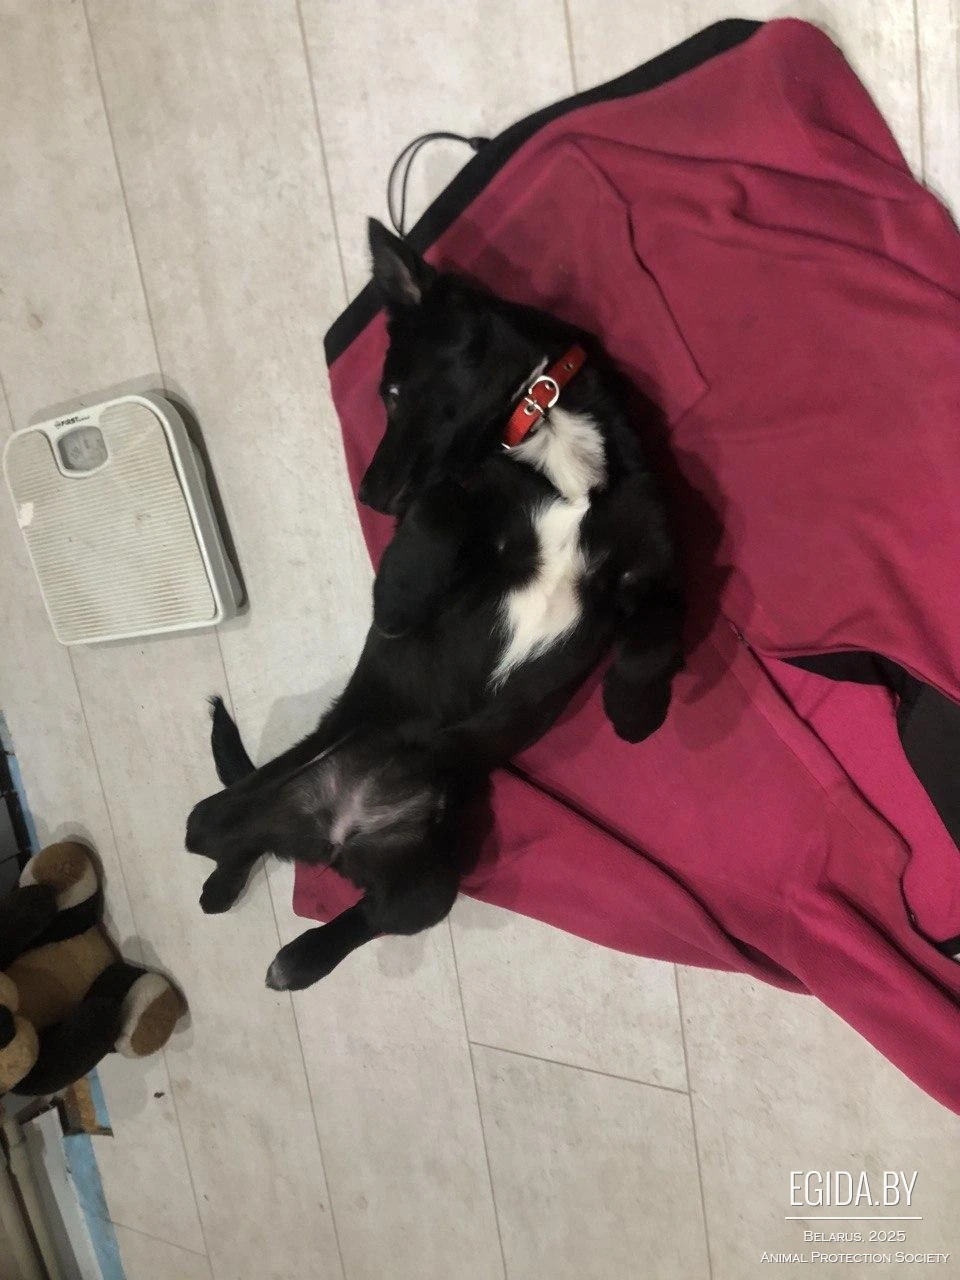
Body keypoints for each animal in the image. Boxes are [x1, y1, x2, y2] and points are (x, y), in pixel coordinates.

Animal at [184, 219, 684, 990]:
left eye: (391, 390)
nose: (366, 495)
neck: (541, 429)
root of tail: (335, 834)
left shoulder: (653, 560)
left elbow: (656, 632)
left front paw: (633, 710)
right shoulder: (436, 547)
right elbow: (440, 505)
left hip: (433, 883)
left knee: (373, 913)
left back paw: (299, 958)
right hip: (240, 801)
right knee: (218, 830)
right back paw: (223, 886)